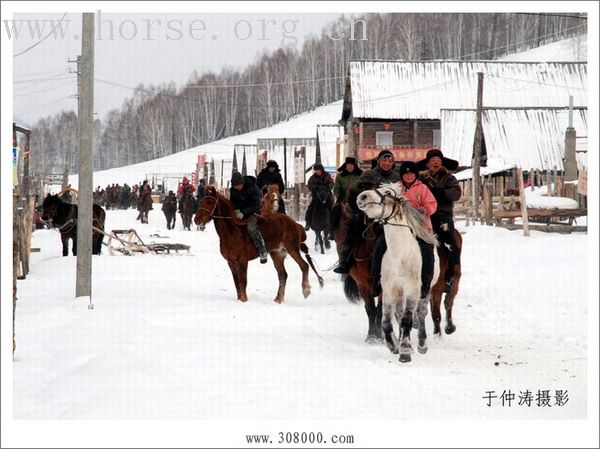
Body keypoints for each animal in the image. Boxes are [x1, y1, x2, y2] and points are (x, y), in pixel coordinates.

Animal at [356, 184, 440, 362]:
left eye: (387, 192)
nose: (362, 197)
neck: (400, 256)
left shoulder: (412, 291)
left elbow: (408, 320)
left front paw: (405, 352)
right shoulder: (389, 291)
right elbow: (387, 322)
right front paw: (394, 346)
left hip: (425, 291)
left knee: (421, 314)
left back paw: (421, 345)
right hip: (399, 294)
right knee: (399, 315)